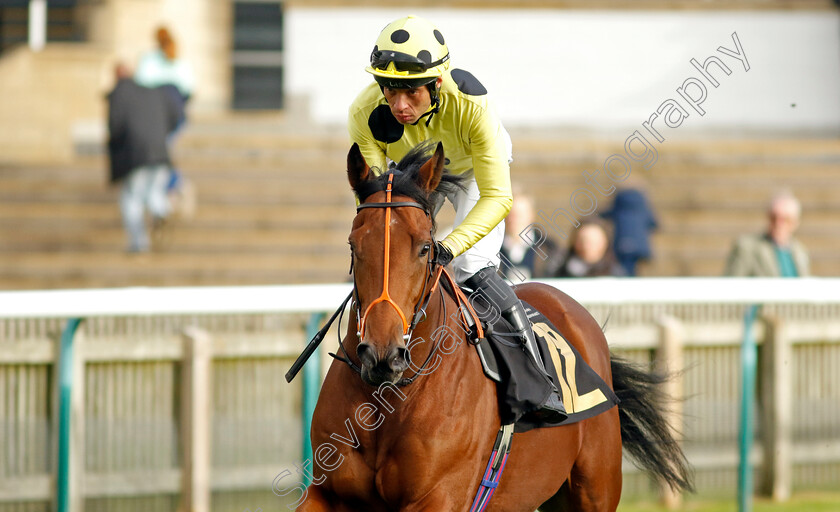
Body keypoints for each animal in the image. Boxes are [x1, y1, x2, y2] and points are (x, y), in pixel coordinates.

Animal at [298, 142, 692, 510]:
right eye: (353, 245)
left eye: (425, 248)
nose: (382, 355)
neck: (389, 402)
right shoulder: (325, 493)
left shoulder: (438, 496)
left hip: (594, 489)